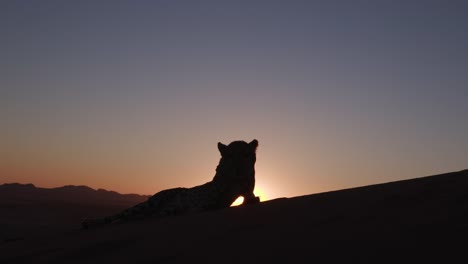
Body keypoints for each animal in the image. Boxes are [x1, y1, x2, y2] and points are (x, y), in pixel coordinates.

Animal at [81, 139, 260, 228]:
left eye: (245, 154)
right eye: (230, 156)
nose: (238, 168)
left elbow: (249, 195)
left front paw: (252, 198)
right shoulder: (213, 194)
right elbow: (213, 199)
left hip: (166, 210)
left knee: (148, 216)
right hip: (148, 204)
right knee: (119, 216)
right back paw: (90, 222)